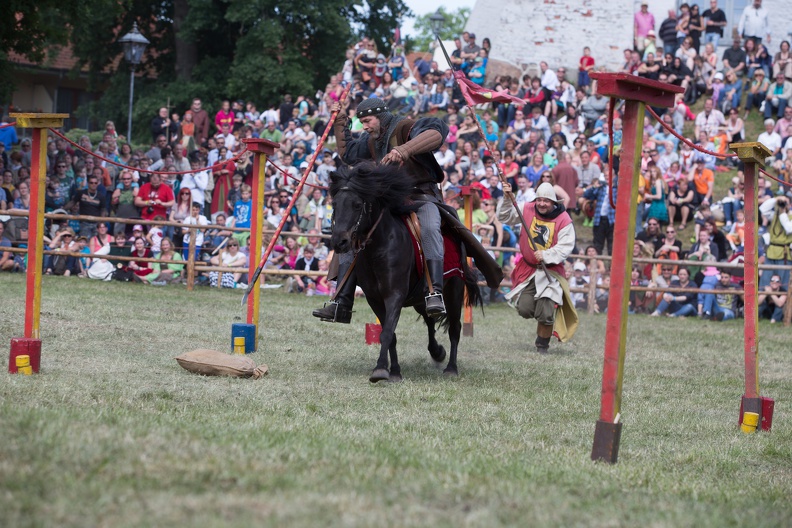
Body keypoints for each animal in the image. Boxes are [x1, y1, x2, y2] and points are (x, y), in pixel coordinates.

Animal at [330, 163, 482, 382]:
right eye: (335, 204)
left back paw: (451, 368)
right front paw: (394, 371)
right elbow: (389, 333)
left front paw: (380, 370)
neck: (380, 247)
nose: (339, 242)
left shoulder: (394, 295)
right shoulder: (375, 299)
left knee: (454, 328)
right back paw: (437, 352)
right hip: (420, 298)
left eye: (357, 204)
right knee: (430, 320)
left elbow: (387, 332)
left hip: (453, 292)